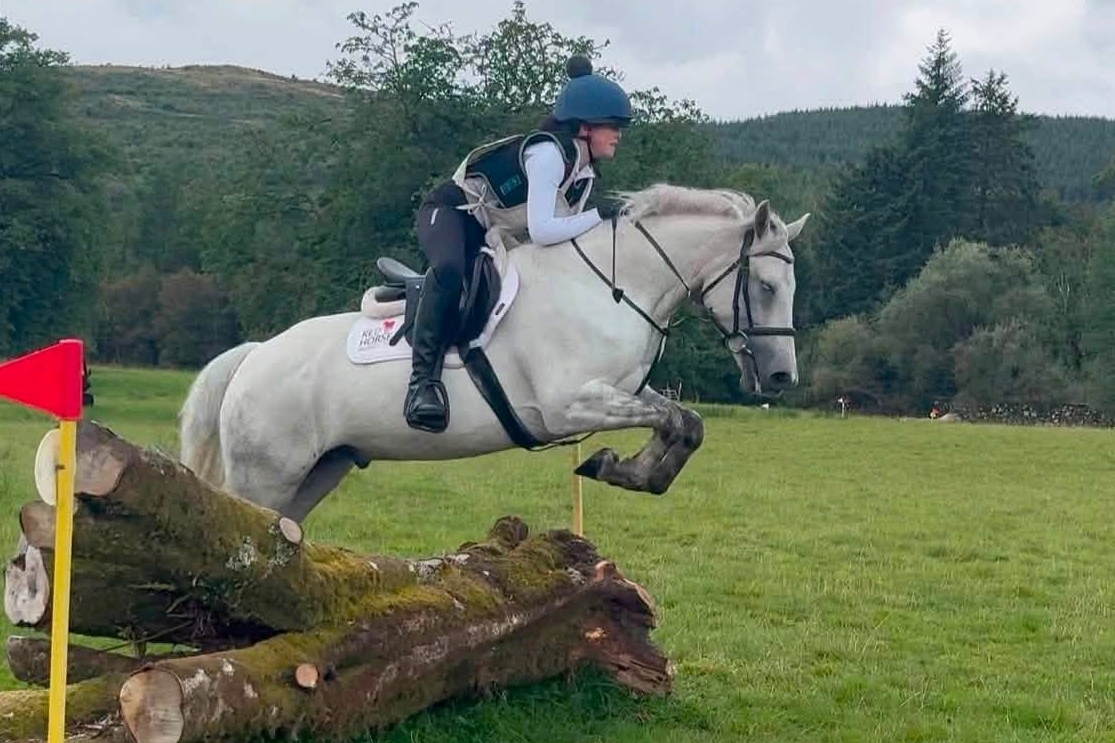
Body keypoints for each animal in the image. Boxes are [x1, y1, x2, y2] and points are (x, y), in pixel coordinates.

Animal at [178, 183, 810, 521]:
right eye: (765, 286)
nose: (782, 378)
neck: (613, 284)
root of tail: (255, 356)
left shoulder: (618, 390)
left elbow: (684, 421)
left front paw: (625, 470)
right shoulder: (567, 405)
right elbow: (671, 419)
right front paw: (615, 464)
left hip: (319, 469)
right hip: (266, 474)